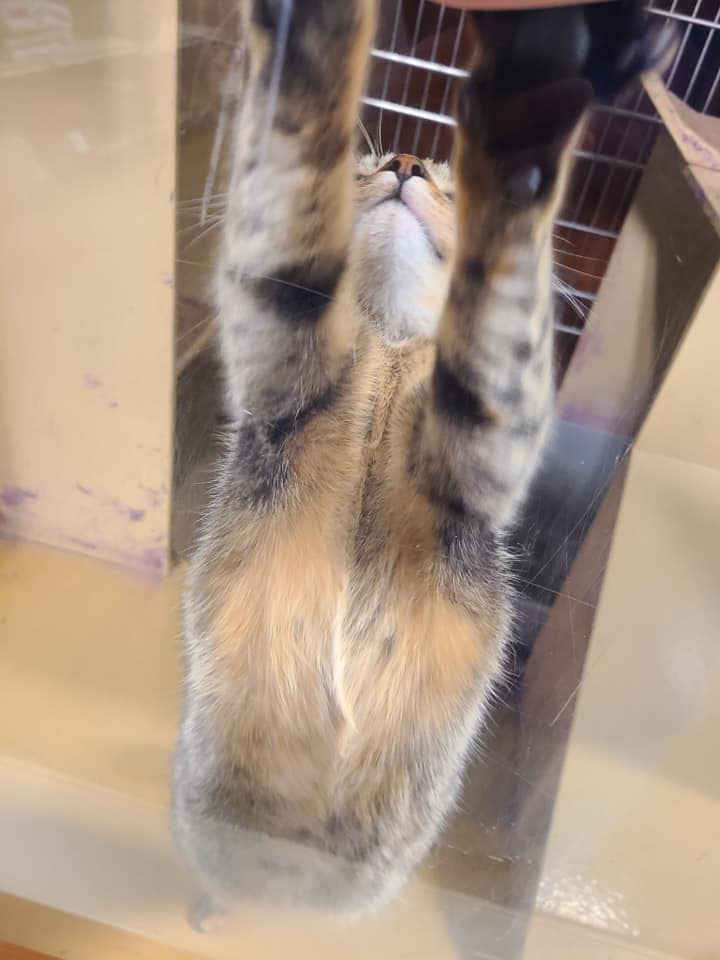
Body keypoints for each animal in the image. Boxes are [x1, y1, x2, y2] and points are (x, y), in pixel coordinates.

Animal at [172, 0, 674, 924]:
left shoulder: (486, 436)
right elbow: (297, 150)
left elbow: (503, 292)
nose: (406, 162)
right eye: (372, 161)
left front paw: (529, 117)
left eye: (442, 182)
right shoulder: (282, 331)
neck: (391, 345)